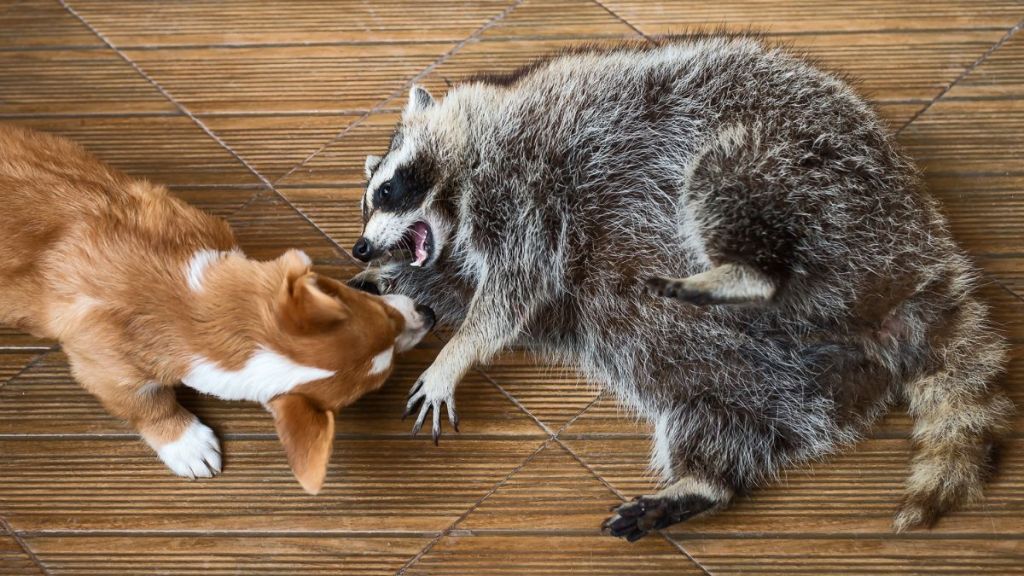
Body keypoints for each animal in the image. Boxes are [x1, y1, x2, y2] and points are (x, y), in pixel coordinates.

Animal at [0, 125, 434, 494]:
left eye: (381, 312)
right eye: (381, 376)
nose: (429, 314)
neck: (185, 303)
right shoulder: (105, 370)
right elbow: (149, 406)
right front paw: (188, 445)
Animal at [348, 36, 1011, 537]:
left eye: (386, 189)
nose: (360, 247)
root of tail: (914, 266)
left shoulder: (524, 185)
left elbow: (516, 286)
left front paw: (453, 357)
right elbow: (474, 292)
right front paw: (390, 283)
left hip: (815, 178)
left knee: (726, 177)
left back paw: (748, 273)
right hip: (768, 378)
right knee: (722, 418)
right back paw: (704, 483)